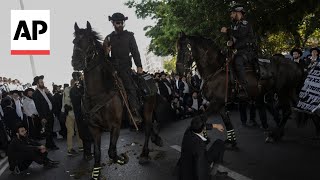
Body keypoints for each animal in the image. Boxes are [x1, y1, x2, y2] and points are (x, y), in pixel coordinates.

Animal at [71, 21, 164, 179]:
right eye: (74, 41)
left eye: (89, 41)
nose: (75, 62)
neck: (98, 94)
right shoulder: (93, 128)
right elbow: (98, 153)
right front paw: (96, 172)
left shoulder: (115, 125)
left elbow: (111, 151)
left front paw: (122, 159)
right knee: (148, 127)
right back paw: (154, 141)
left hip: (148, 110)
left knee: (147, 128)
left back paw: (144, 154)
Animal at [176, 33, 304, 143]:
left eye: (184, 50)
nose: (179, 71)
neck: (215, 70)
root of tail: (295, 64)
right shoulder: (220, 104)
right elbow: (227, 122)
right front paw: (231, 141)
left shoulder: (216, 102)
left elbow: (201, 118)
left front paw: (203, 136)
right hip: (289, 91)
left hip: (282, 92)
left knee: (287, 111)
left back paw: (274, 135)